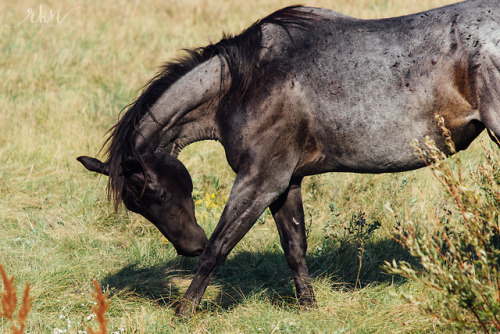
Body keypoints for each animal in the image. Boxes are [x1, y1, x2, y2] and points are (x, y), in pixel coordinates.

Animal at [78, 0, 500, 316]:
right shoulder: (287, 182)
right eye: (137, 207)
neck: (245, 83)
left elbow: (220, 246)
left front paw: (184, 311)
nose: (189, 246)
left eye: (159, 195)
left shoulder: (261, 180)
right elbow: (295, 247)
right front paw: (309, 307)